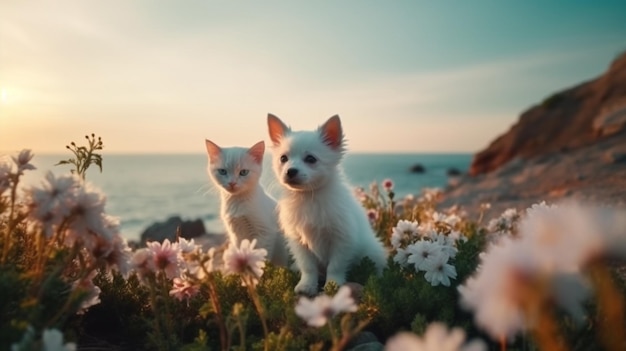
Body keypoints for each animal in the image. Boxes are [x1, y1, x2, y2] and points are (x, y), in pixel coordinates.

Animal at [264, 114, 386, 296]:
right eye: (283, 159)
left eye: (311, 159)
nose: (290, 171)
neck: (309, 197)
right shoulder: (299, 241)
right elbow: (308, 267)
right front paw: (307, 285)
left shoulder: (342, 239)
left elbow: (335, 266)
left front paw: (333, 285)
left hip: (372, 254)